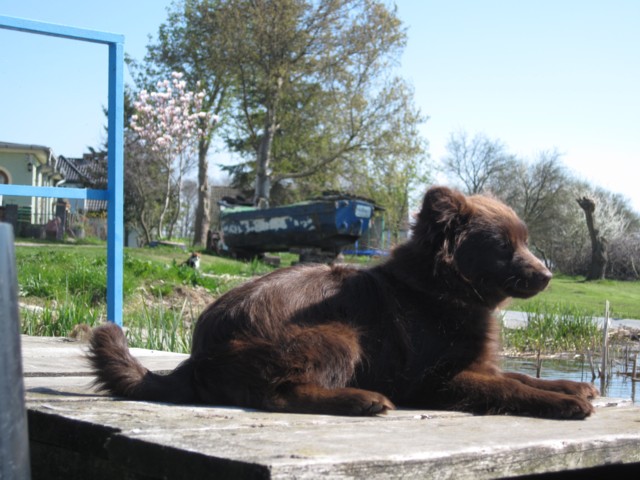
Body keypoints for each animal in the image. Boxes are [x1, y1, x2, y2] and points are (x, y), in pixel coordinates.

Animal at [88, 186, 598, 419]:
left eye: (524, 242)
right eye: (502, 247)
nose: (548, 275)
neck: (441, 289)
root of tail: (198, 354)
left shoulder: (475, 365)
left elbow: (517, 375)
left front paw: (571, 388)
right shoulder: (437, 381)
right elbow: (508, 388)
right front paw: (563, 403)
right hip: (340, 334)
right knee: (277, 394)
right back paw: (363, 399)